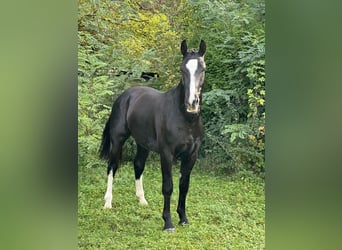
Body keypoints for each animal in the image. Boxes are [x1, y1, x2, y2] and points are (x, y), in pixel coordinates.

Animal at [99, 39, 206, 232]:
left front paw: (183, 218)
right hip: (117, 141)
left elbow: (184, 186)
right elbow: (168, 187)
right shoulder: (167, 154)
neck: (185, 119)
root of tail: (125, 96)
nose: (191, 103)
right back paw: (108, 203)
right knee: (112, 166)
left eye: (202, 68)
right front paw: (168, 223)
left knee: (138, 165)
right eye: (182, 69)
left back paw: (142, 200)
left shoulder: (192, 155)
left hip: (143, 144)